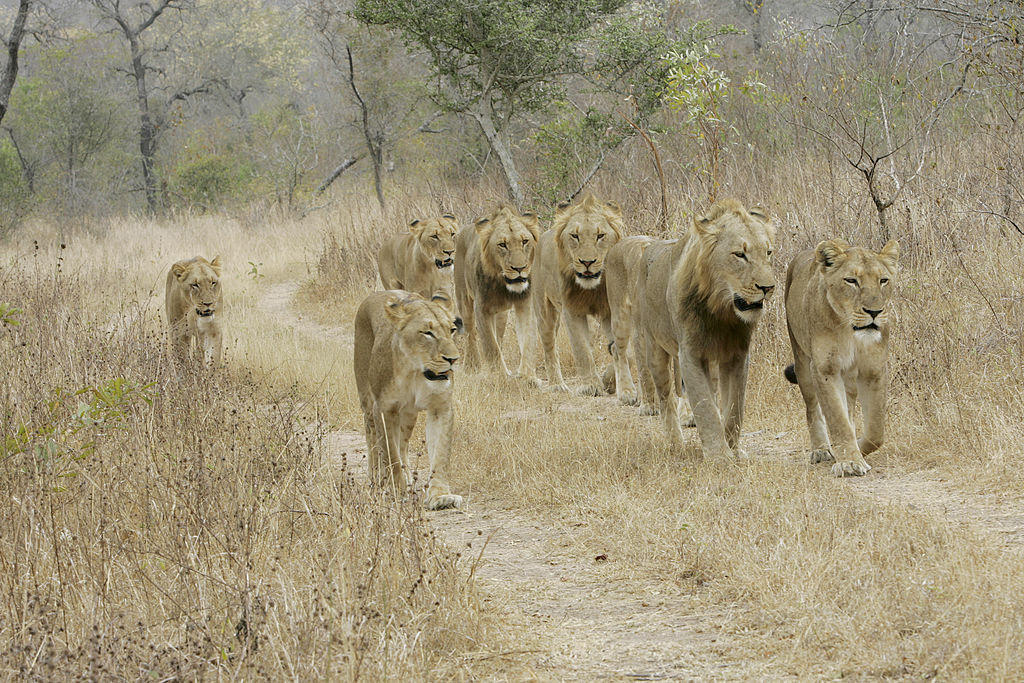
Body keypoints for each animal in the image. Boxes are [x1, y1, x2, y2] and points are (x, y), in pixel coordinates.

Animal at [354, 289, 464, 510]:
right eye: (427, 333)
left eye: (452, 330)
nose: (453, 359)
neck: (415, 372)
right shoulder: (383, 409)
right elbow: (391, 454)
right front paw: (398, 492)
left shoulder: (441, 407)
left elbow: (441, 453)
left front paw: (440, 496)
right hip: (368, 404)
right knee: (372, 439)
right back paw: (376, 479)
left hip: (408, 415)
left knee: (403, 445)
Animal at [453, 205, 540, 380]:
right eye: (502, 245)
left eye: (525, 241)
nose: (520, 268)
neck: (503, 285)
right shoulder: (481, 308)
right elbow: (490, 345)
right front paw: (500, 375)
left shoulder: (525, 303)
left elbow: (527, 340)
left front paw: (527, 376)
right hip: (463, 299)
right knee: (470, 334)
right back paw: (472, 366)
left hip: (501, 315)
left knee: (498, 335)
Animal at [533, 193, 624, 395]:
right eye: (575, 236)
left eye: (600, 236)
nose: (587, 262)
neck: (592, 289)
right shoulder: (572, 310)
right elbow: (581, 349)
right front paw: (591, 386)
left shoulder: (610, 311)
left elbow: (619, 346)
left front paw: (609, 381)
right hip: (545, 310)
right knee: (549, 346)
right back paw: (557, 384)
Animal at [634, 199, 776, 461]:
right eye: (740, 254)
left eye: (768, 252)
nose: (768, 288)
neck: (722, 312)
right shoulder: (690, 354)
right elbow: (705, 406)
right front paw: (719, 456)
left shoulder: (737, 355)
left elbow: (734, 407)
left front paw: (733, 450)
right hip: (654, 346)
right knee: (666, 398)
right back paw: (675, 442)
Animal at [784, 239, 899, 477]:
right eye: (851, 281)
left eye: (883, 280)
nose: (874, 312)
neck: (850, 332)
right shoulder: (825, 369)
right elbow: (837, 419)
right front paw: (849, 462)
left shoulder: (874, 369)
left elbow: (876, 430)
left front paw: (858, 449)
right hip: (802, 362)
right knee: (812, 408)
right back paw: (820, 450)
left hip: (850, 378)